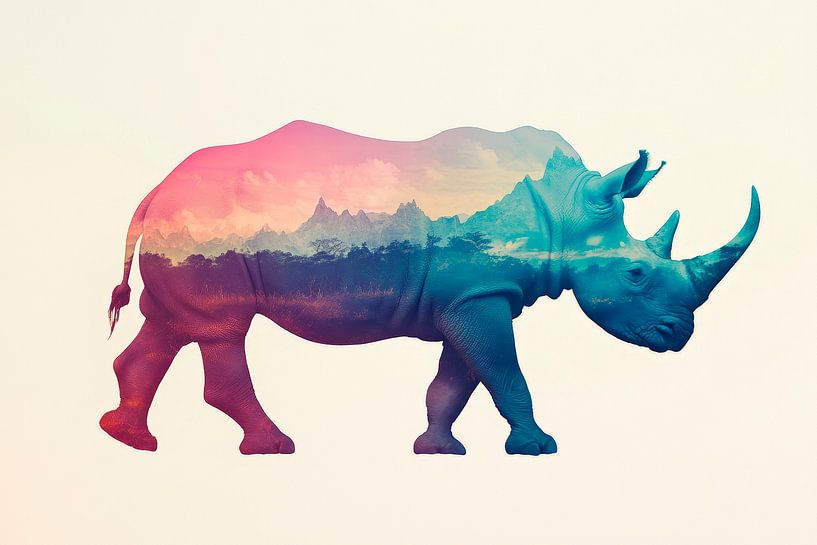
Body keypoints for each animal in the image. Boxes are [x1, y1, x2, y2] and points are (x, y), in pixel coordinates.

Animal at [101, 121, 760, 456]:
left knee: (171, 324)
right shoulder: (480, 295)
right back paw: (274, 447)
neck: (566, 210)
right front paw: (538, 448)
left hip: (184, 225)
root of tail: (155, 188)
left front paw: (437, 449)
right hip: (204, 224)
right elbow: (504, 373)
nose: (677, 336)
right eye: (636, 274)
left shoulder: (474, 295)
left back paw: (131, 440)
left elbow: (458, 379)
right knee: (223, 327)